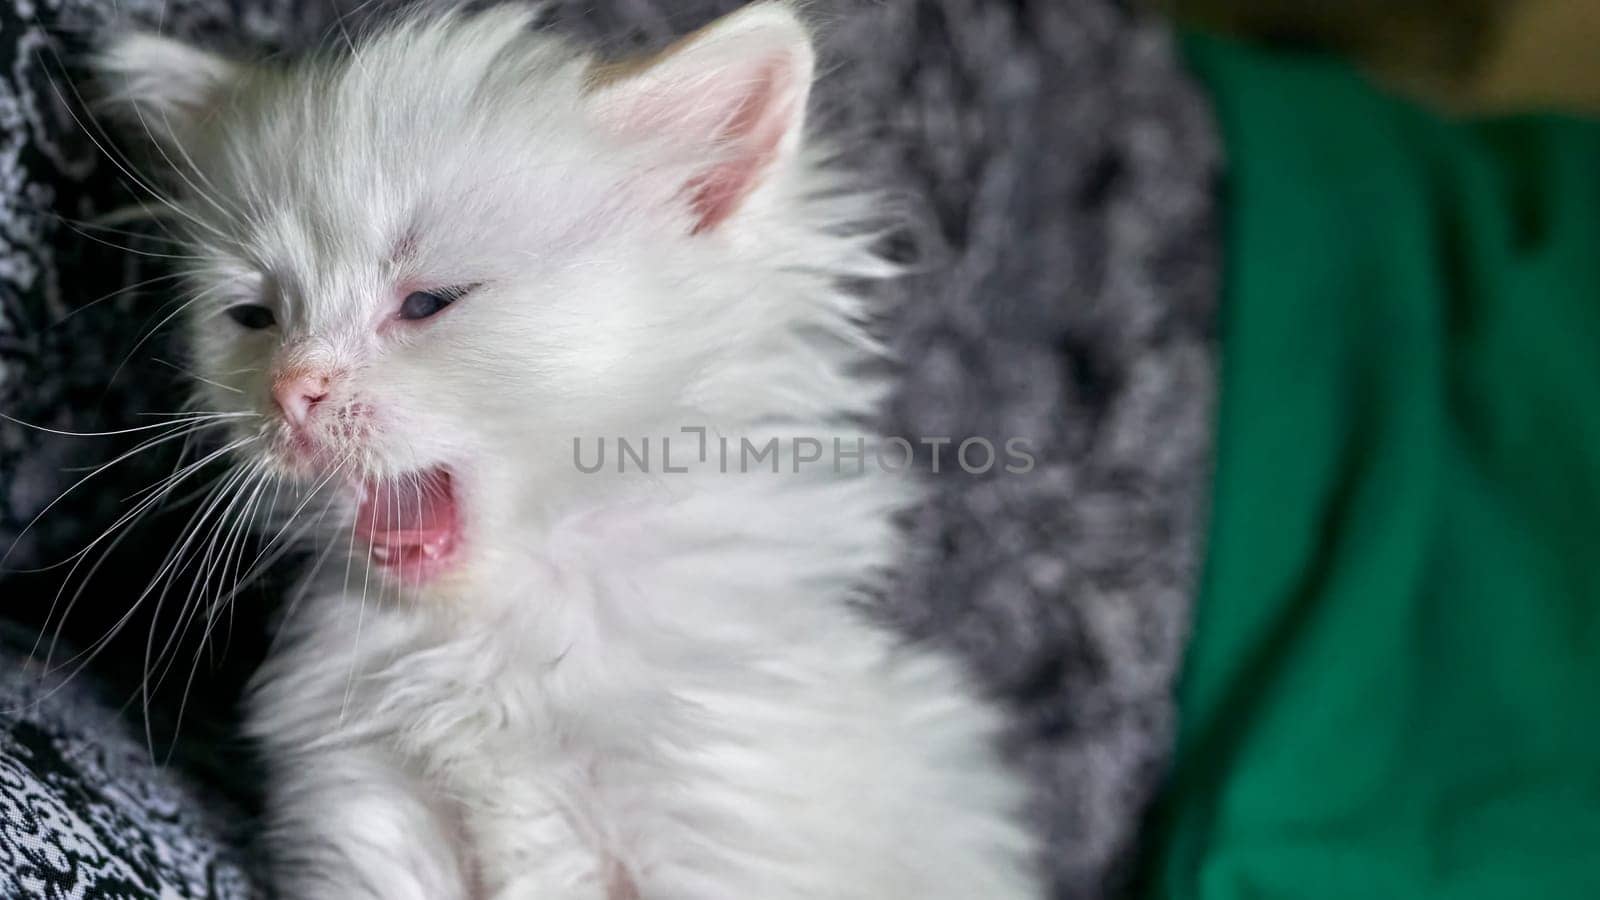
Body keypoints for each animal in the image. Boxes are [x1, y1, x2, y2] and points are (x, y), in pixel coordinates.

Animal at [93, 7, 1043, 896]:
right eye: (254, 318)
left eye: (430, 302)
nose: (292, 391)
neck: (496, 637)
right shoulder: (373, 811)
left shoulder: (716, 822)